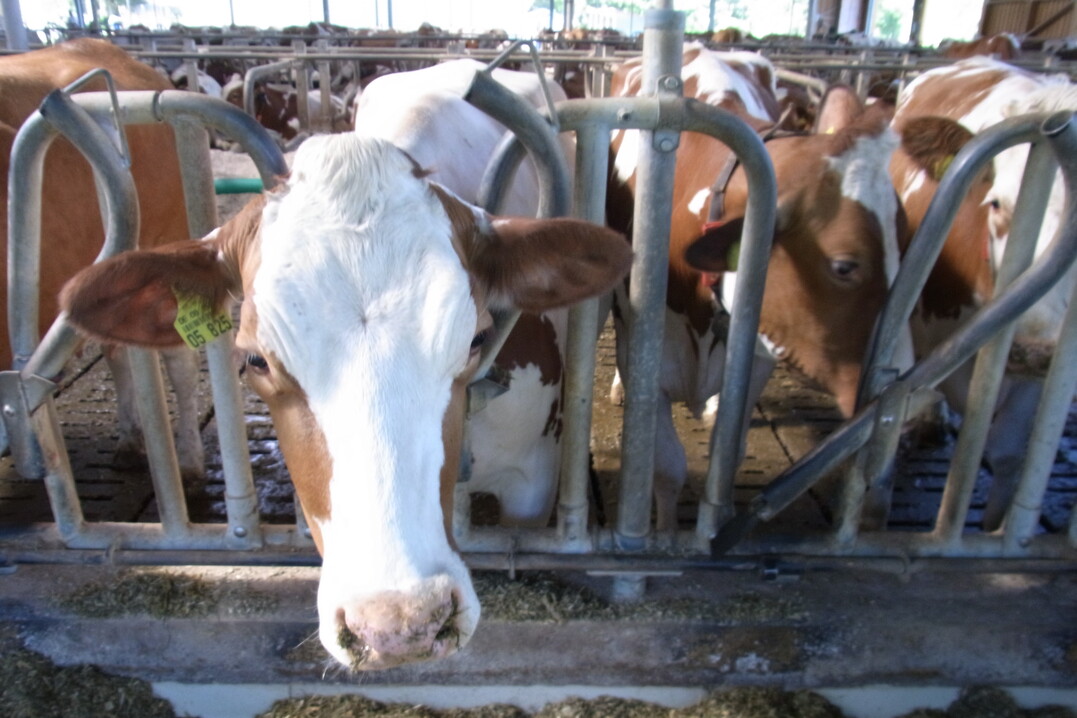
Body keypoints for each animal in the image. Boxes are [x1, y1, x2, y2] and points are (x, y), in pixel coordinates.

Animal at [608, 46, 910, 533]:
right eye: (845, 266)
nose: (904, 379)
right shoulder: (646, 357)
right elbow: (667, 468)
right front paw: (665, 532)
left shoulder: (754, 365)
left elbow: (726, 457)